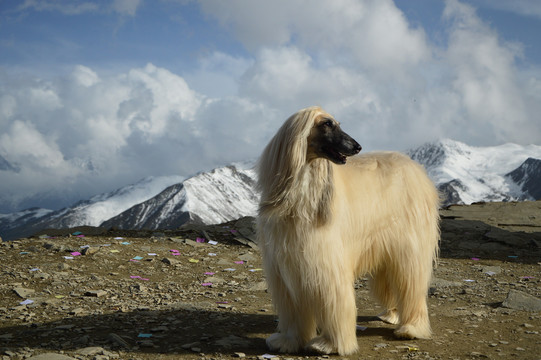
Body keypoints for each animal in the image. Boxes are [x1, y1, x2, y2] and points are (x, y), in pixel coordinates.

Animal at [256, 106, 438, 354]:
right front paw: (288, 340)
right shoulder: (287, 265)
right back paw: (392, 314)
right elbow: (292, 306)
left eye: (337, 123)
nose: (357, 146)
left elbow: (334, 298)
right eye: (327, 124)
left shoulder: (326, 259)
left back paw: (411, 328)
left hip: (409, 244)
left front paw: (329, 344)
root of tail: (415, 168)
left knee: (411, 283)